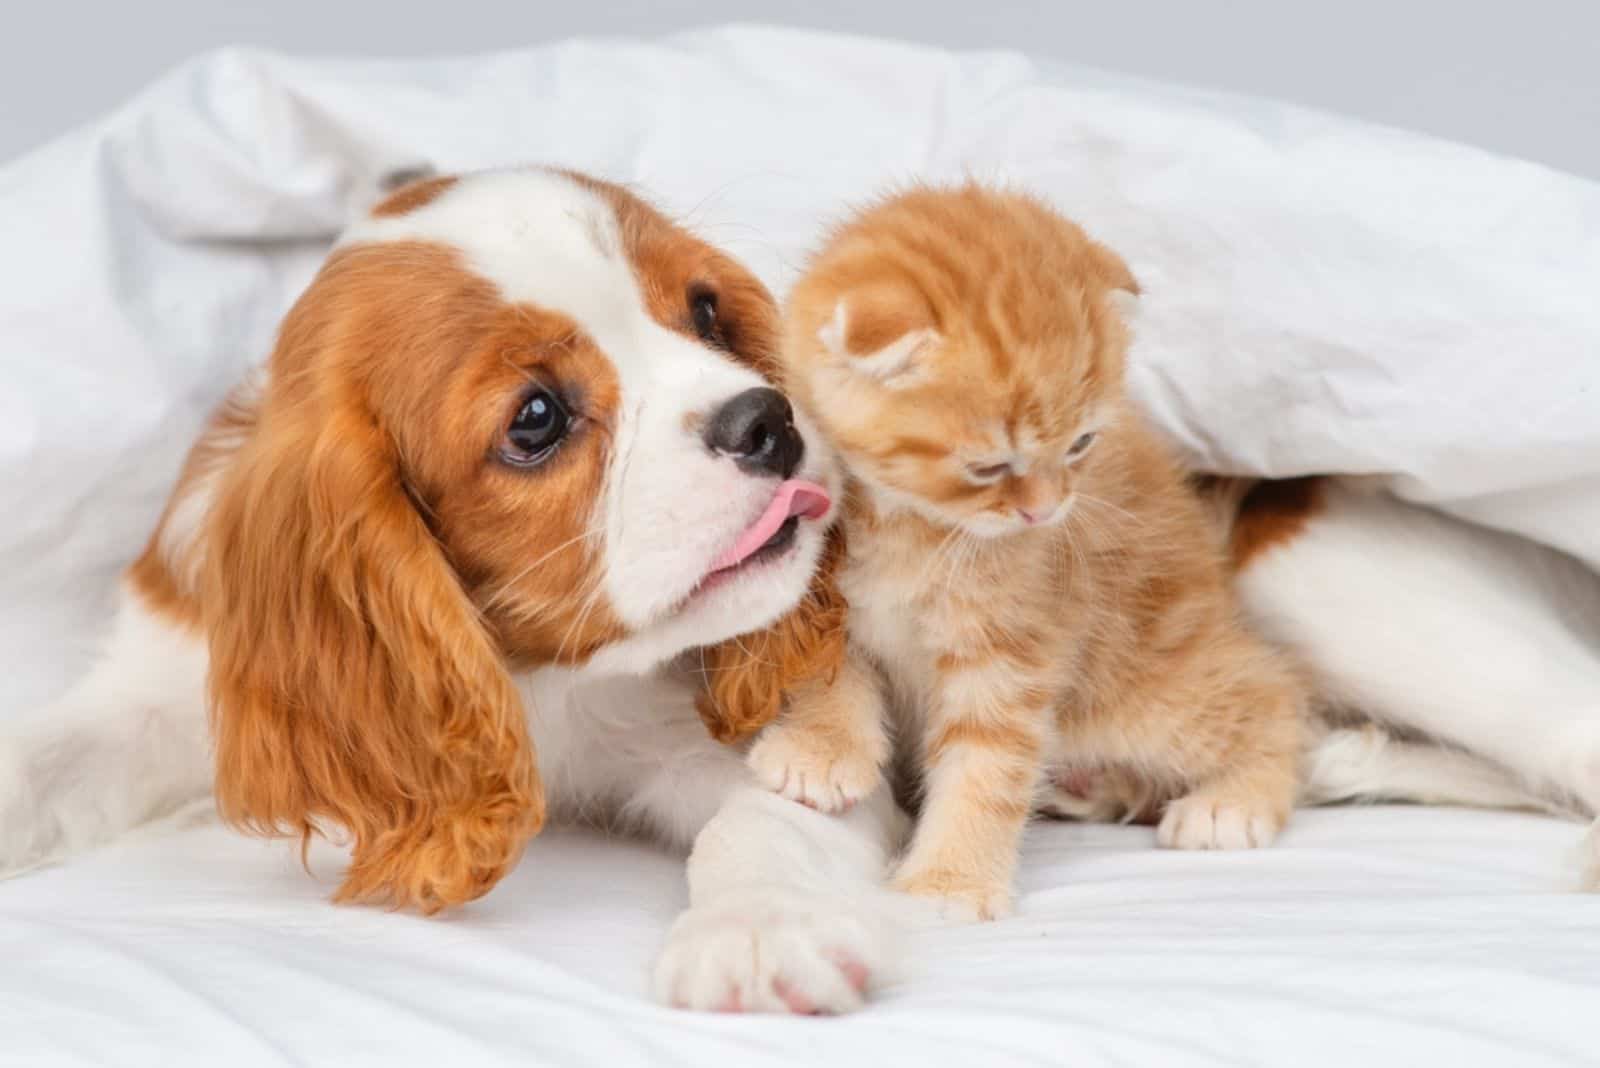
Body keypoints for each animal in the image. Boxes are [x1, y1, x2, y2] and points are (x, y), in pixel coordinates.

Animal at [745, 183, 1299, 920]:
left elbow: (987, 764)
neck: (910, 525)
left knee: (1275, 692)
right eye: (987, 467)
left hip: (1146, 684)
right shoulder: (821, 591)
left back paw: (1233, 803)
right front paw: (820, 751)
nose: (1045, 511)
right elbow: (828, 672)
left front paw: (950, 880)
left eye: (1082, 444)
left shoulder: (1014, 647)